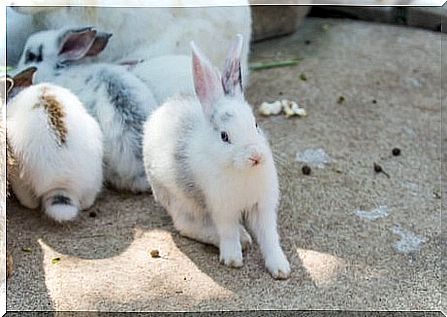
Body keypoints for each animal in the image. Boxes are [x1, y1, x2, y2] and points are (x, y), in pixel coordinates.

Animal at [143, 34, 290, 278]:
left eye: (256, 124)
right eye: (224, 136)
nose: (255, 156)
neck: (241, 171)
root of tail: (161, 111)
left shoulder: (262, 206)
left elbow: (269, 237)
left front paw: (280, 268)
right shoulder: (222, 208)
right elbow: (227, 232)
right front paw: (232, 259)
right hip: (179, 201)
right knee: (187, 226)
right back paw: (243, 238)